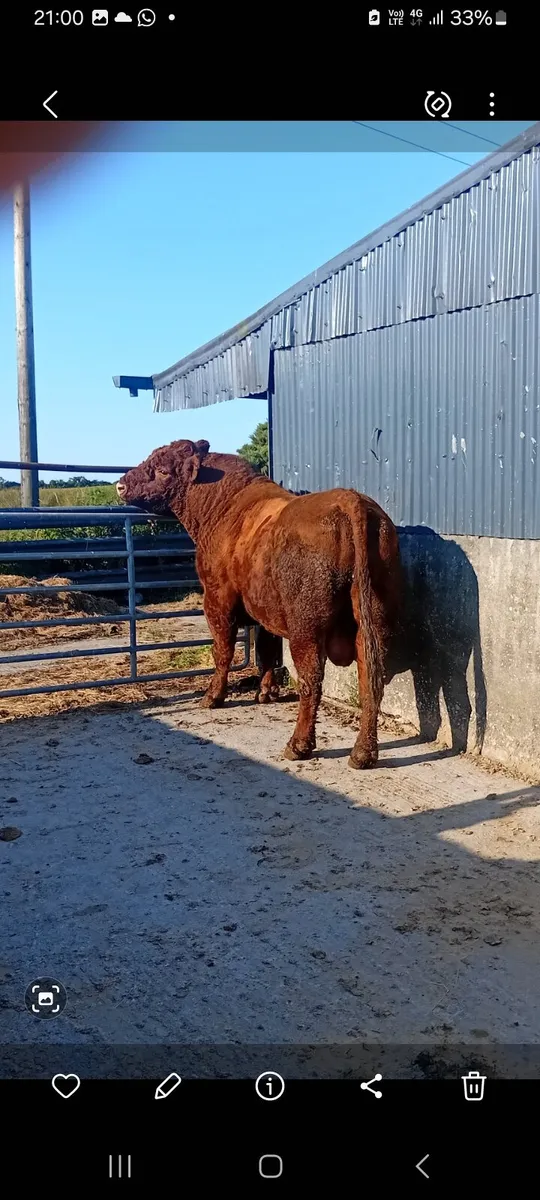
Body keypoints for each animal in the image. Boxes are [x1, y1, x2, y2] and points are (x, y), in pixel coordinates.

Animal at [117, 440, 402, 769]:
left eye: (163, 470)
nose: (120, 484)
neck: (223, 507)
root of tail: (349, 498)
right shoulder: (266, 609)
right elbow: (266, 647)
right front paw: (266, 691)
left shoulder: (217, 600)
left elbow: (223, 652)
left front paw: (213, 696)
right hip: (373, 622)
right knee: (371, 680)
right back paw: (363, 753)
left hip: (306, 627)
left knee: (311, 679)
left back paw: (299, 745)